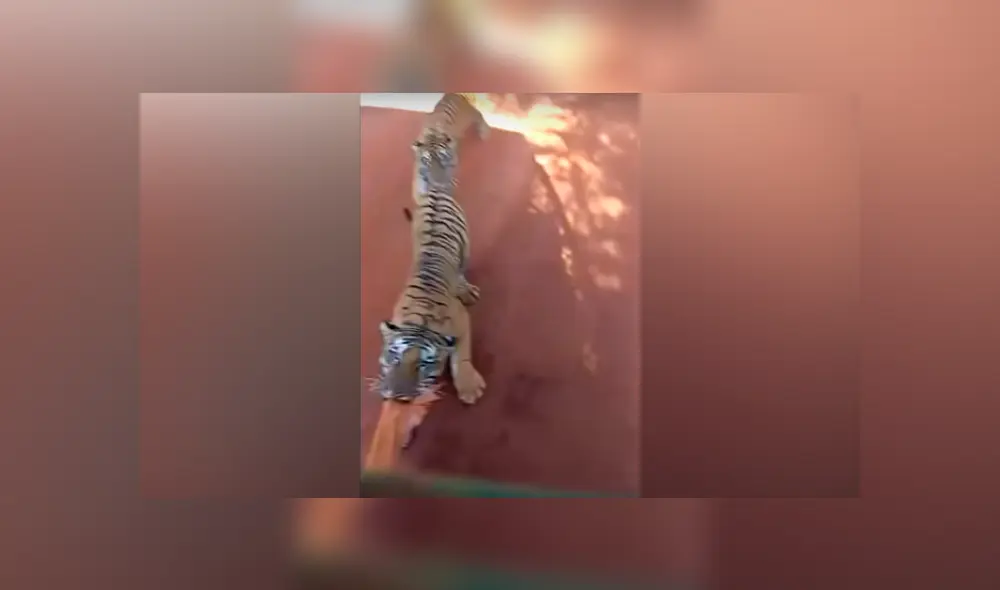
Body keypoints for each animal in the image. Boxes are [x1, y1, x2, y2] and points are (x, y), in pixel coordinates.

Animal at [364, 136, 486, 471]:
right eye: (393, 357)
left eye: (423, 364)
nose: (399, 398)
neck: (420, 321)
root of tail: (434, 190)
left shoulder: (462, 321)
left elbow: (461, 357)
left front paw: (469, 387)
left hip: (466, 245)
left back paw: (466, 288)